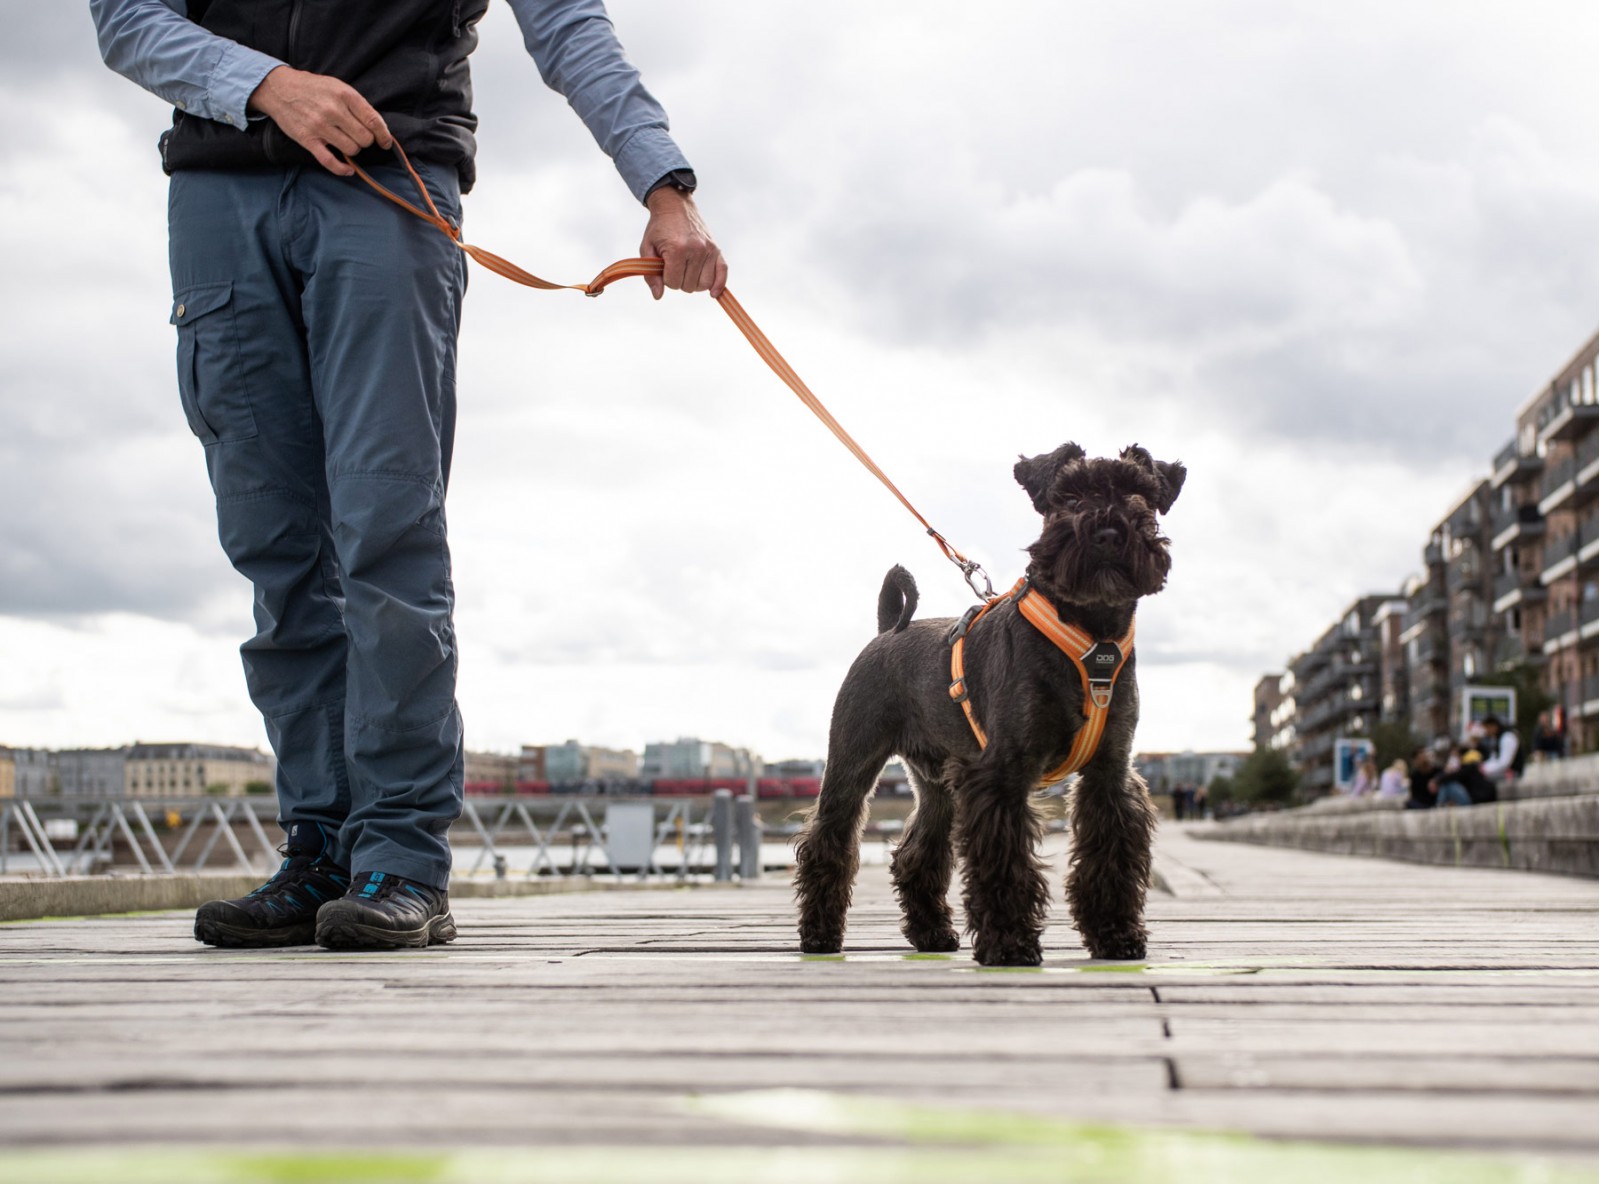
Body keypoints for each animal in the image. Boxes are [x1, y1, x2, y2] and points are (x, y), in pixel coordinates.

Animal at [793, 441, 1184, 960]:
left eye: (1139, 494)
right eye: (1069, 497)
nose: (1106, 532)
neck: (1091, 632)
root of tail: (886, 632)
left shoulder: (1109, 773)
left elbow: (1110, 855)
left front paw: (1116, 934)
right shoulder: (1002, 772)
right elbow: (1003, 861)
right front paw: (1011, 943)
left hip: (937, 786)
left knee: (916, 852)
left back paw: (932, 934)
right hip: (852, 765)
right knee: (828, 841)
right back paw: (819, 933)